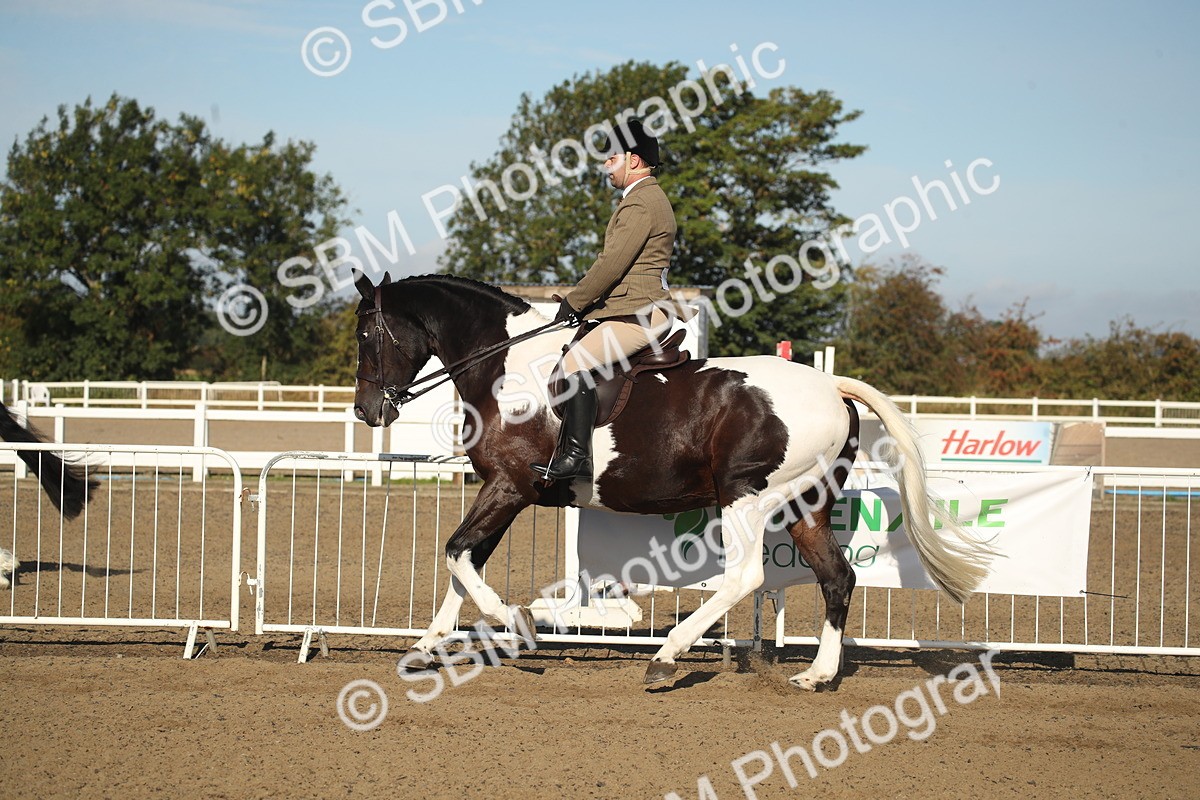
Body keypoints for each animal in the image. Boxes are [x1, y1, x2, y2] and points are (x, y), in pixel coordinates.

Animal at [351, 272, 993, 690]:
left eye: (365, 336)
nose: (366, 412)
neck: (506, 368)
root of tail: (830, 385)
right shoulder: (502, 491)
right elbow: (464, 563)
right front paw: (426, 647)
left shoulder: (509, 487)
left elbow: (458, 553)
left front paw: (519, 627)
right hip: (805, 504)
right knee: (837, 576)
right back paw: (816, 674)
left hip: (747, 496)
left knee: (745, 577)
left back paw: (665, 658)